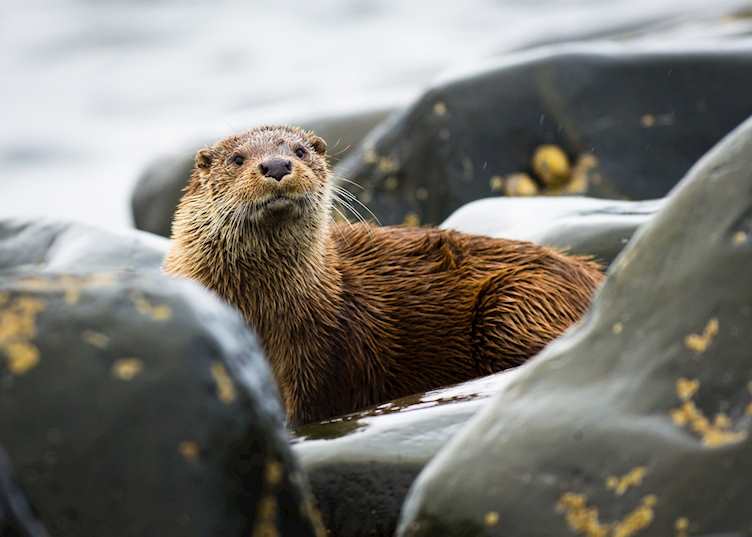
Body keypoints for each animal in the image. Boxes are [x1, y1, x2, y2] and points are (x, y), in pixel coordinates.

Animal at [164, 126, 603, 425]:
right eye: (237, 159)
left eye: (300, 150)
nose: (276, 164)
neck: (261, 308)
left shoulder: (324, 350)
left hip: (517, 302)